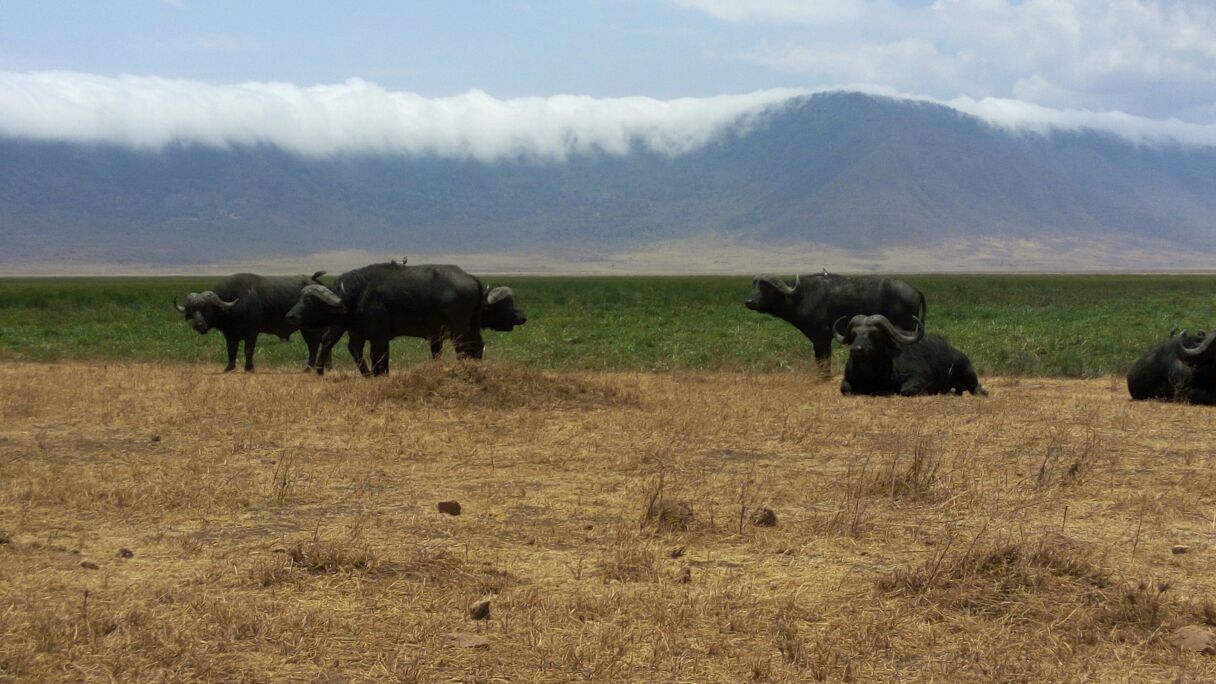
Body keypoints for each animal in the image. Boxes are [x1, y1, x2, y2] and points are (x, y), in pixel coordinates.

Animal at [173, 273, 327, 372]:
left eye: (207, 308)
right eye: (193, 309)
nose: (198, 325)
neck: (233, 308)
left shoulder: (251, 333)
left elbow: (248, 350)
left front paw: (249, 368)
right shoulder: (229, 335)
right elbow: (231, 350)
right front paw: (229, 368)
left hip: (309, 329)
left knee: (313, 346)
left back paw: (309, 368)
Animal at [745, 272, 926, 375]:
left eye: (765, 288)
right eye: (754, 286)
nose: (748, 301)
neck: (800, 296)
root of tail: (915, 290)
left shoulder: (822, 338)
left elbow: (824, 361)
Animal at [833, 314, 986, 396]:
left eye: (874, 334)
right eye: (854, 333)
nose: (856, 349)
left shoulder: (920, 376)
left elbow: (905, 389)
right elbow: (845, 388)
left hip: (969, 373)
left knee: (975, 387)